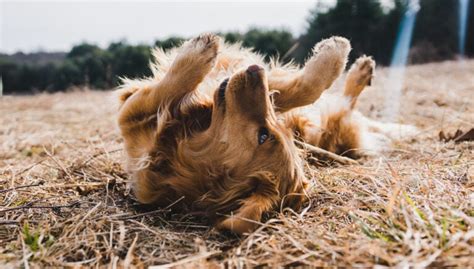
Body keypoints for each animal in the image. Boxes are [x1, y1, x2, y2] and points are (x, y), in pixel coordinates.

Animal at [115, 33, 414, 233]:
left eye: (263, 135)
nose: (255, 69)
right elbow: (303, 89)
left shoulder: (130, 118)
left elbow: (163, 91)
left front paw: (197, 54)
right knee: (344, 105)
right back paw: (362, 71)